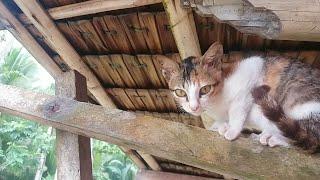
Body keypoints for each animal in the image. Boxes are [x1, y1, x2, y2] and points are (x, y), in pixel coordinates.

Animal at [158, 41, 320, 150]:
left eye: (205, 89)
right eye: (180, 92)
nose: (194, 107)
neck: (215, 101)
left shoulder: (252, 67)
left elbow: (238, 108)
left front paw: (232, 130)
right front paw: (221, 126)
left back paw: (273, 136)